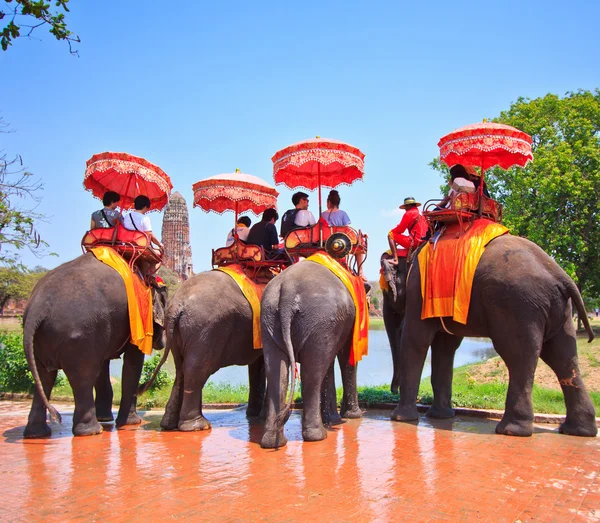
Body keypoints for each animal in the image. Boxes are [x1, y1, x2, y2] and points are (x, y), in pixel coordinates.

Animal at [22, 254, 168, 438]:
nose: (143, 388)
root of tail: (37, 307)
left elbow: (104, 363)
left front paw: (106, 418)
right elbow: (132, 361)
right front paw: (131, 422)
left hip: (46, 338)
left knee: (44, 377)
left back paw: (37, 434)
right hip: (80, 335)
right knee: (83, 376)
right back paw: (91, 431)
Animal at [262, 262, 366, 450]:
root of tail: (288, 289)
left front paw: (335, 419)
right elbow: (346, 357)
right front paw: (352, 417)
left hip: (269, 317)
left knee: (277, 372)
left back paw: (272, 441)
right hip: (321, 319)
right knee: (313, 372)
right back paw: (318, 436)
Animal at [382, 234, 596, 438]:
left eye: (386, 293)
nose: (392, 390)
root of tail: (559, 275)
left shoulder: (418, 290)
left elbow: (414, 340)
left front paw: (400, 419)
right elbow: (445, 345)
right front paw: (440, 416)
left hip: (517, 306)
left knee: (518, 357)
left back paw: (511, 431)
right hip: (559, 311)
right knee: (563, 358)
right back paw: (578, 431)